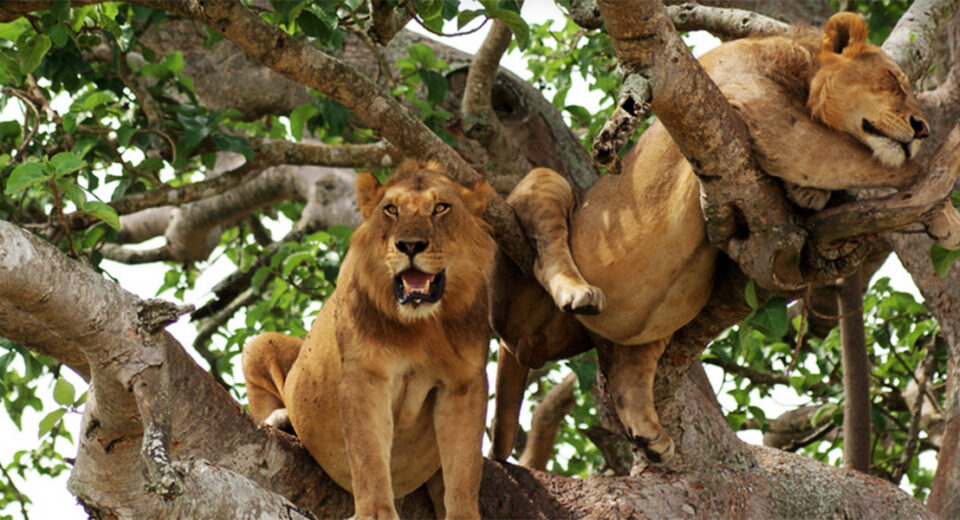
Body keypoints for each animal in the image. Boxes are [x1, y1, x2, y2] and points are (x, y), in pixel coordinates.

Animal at [242, 159, 496, 520]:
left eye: (440, 208)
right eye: (391, 210)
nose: (410, 245)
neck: (422, 326)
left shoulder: (464, 383)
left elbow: (464, 468)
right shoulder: (365, 374)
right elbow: (368, 456)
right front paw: (375, 513)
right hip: (258, 345)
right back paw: (282, 419)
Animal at [492, 13, 956, 468]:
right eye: (894, 82)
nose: (923, 129)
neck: (801, 72)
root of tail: (523, 348)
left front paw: (813, 195)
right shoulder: (760, 111)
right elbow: (878, 163)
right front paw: (946, 209)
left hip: (650, 325)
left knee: (629, 367)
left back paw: (649, 434)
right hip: (545, 189)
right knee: (546, 248)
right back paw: (576, 292)